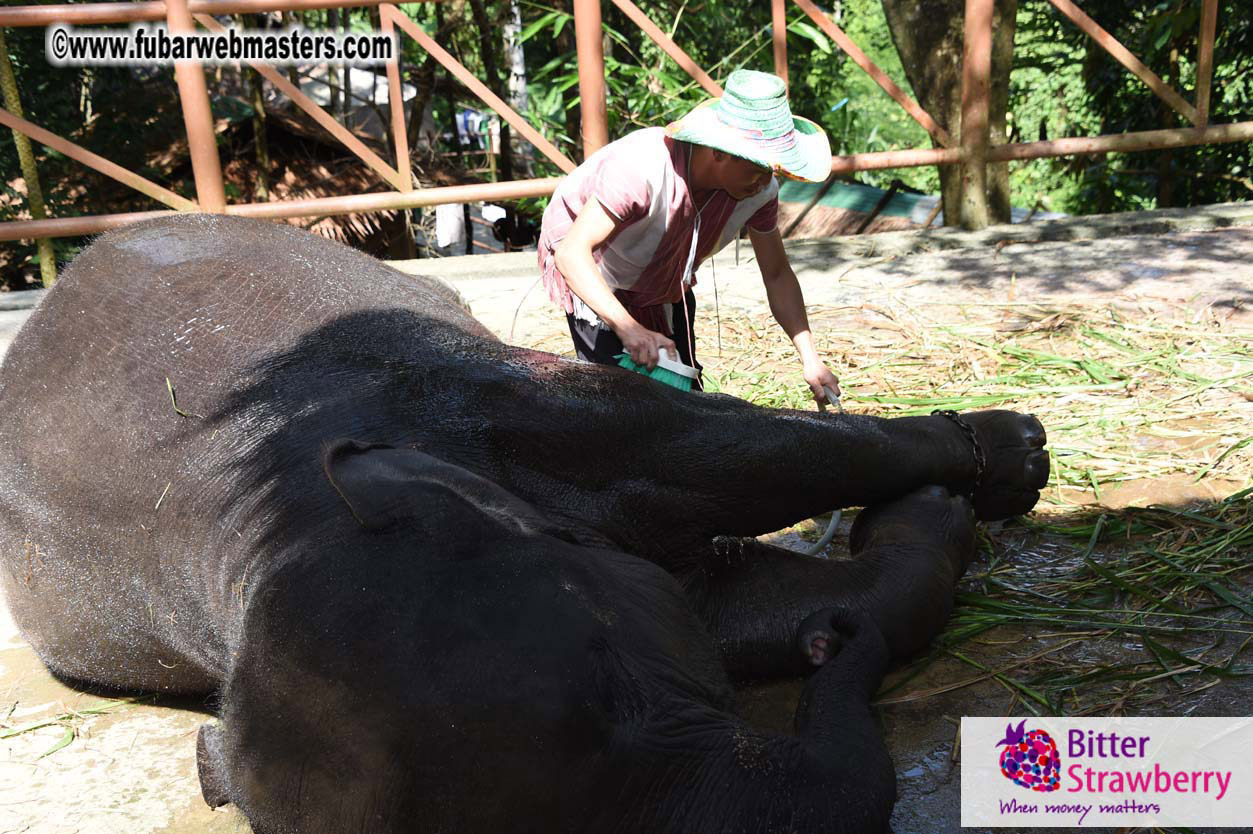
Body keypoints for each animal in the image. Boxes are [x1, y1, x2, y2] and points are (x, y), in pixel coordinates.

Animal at [0, 215, 1048, 833]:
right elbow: (745, 593)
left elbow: (744, 453)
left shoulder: (486, 400)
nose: (831, 648)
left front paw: (1014, 452)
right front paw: (928, 521)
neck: (269, 520)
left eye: (612, 688)